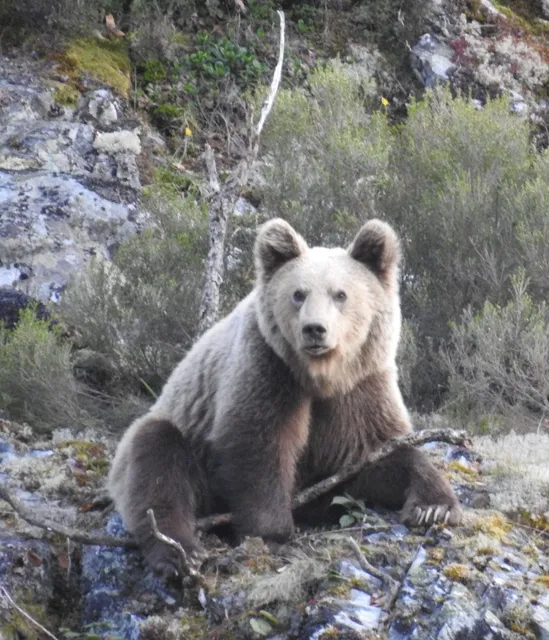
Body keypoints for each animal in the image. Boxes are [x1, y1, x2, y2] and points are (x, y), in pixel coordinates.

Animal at [108, 218, 462, 578]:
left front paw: (433, 507)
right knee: (155, 458)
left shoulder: (361, 386)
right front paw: (272, 533)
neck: (322, 377)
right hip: (178, 444)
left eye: (340, 294)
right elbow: (258, 446)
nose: (314, 329)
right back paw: (180, 553)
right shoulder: (269, 367)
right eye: (298, 294)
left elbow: (381, 452)